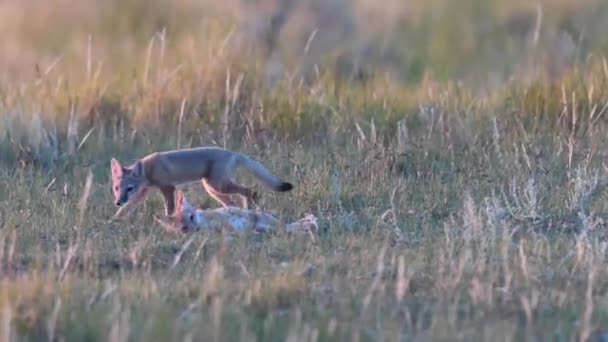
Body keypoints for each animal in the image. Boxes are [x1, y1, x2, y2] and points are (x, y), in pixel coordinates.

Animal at [110, 146, 294, 218]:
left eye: (129, 188)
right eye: (117, 188)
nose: (118, 202)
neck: (149, 168)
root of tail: (232, 152)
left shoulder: (168, 188)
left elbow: (169, 208)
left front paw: (168, 220)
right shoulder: (143, 192)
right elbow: (126, 209)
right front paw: (114, 220)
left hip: (219, 186)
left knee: (250, 192)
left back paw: (248, 209)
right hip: (213, 189)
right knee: (233, 202)